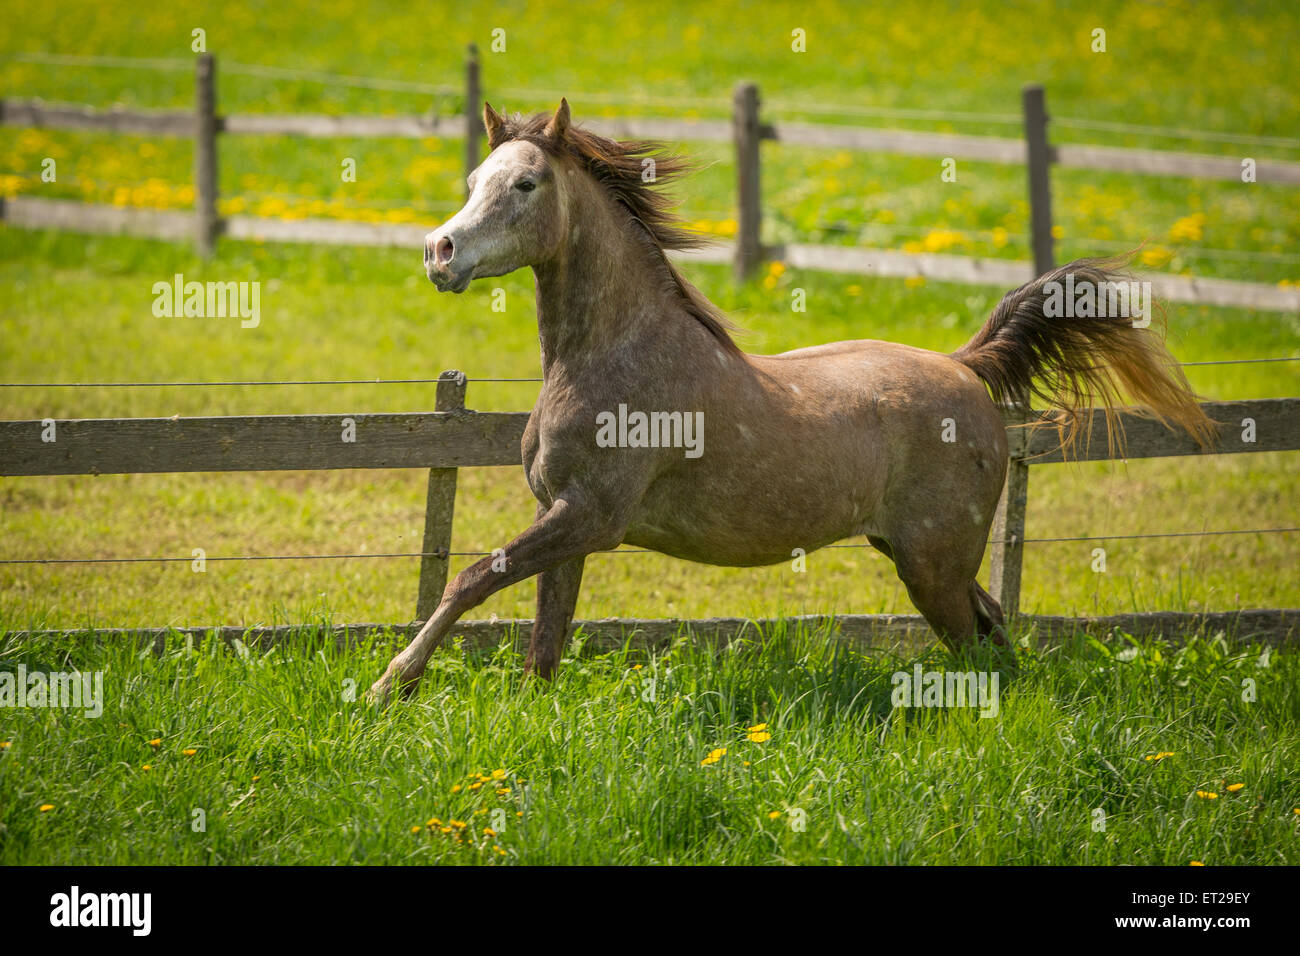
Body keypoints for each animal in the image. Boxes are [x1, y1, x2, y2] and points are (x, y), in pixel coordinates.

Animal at [369, 100, 1216, 707]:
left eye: (526, 184)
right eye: (473, 182)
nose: (439, 253)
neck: (613, 357)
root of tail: (964, 367)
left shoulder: (591, 516)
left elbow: (469, 579)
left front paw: (389, 685)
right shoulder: (566, 518)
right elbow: (544, 642)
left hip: (932, 563)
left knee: (977, 640)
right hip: (922, 553)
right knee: (993, 630)